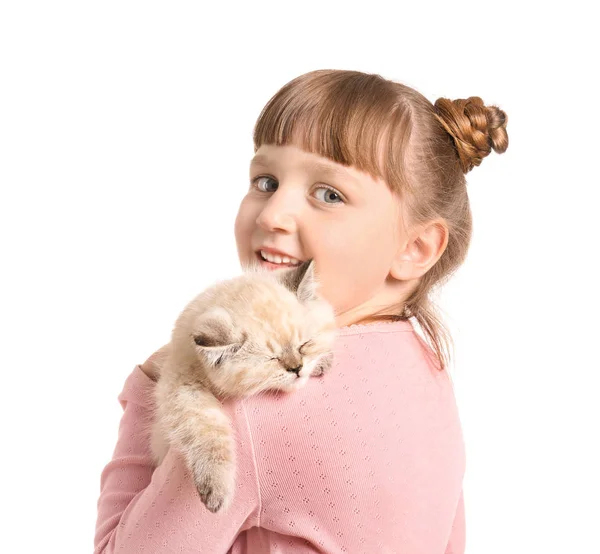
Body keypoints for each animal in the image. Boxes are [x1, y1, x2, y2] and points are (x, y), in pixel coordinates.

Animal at [149, 260, 338, 512]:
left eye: (304, 345)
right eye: (272, 359)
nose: (297, 368)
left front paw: (323, 361)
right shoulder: (180, 386)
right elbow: (206, 429)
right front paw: (216, 490)